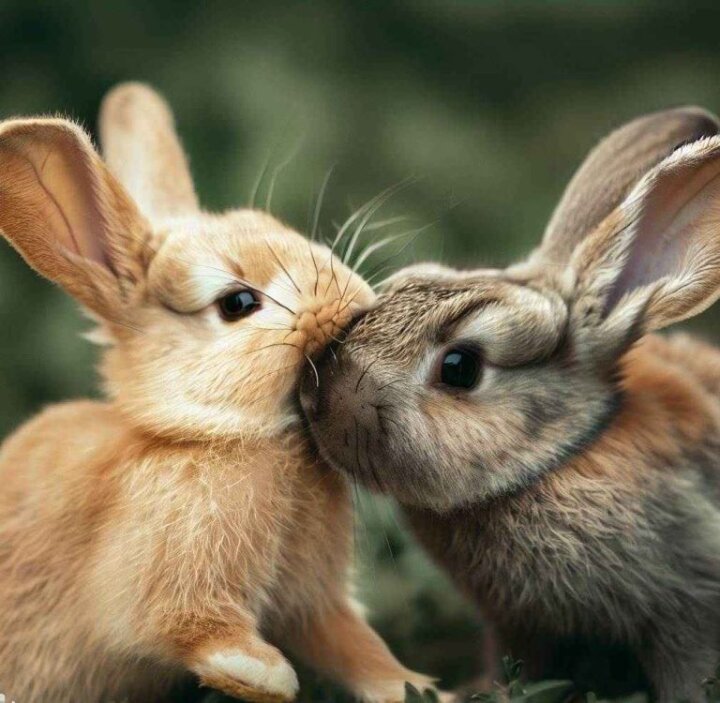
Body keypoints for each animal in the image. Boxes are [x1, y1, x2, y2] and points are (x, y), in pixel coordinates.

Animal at [0, 82, 437, 703]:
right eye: (237, 303)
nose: (354, 299)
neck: (215, 433)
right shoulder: (172, 587)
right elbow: (193, 630)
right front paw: (265, 675)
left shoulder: (316, 604)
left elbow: (357, 647)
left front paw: (418, 686)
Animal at [299, 106, 720, 703]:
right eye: (406, 280)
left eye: (460, 368)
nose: (314, 395)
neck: (561, 456)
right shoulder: (517, 625)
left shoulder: (690, 603)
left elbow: (691, 670)